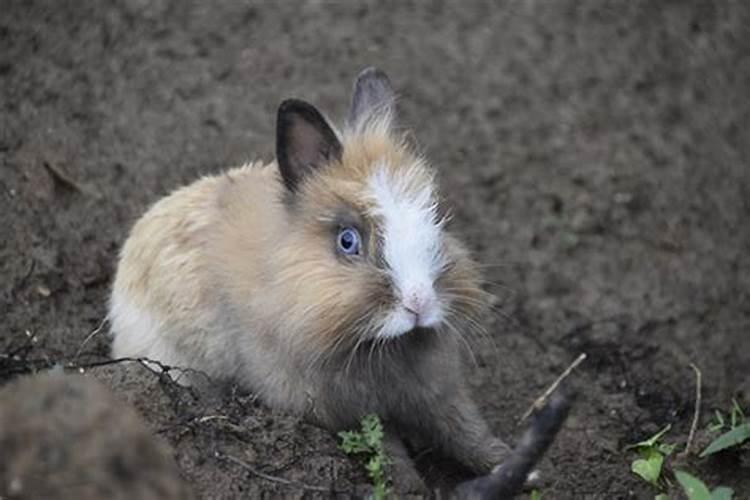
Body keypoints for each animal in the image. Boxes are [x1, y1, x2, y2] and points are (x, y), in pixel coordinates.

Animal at [108, 67, 516, 492]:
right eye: (348, 240)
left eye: (436, 218)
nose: (418, 302)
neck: (385, 346)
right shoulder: (344, 409)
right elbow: (390, 452)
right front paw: (413, 490)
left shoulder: (438, 392)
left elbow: (467, 432)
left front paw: (515, 465)